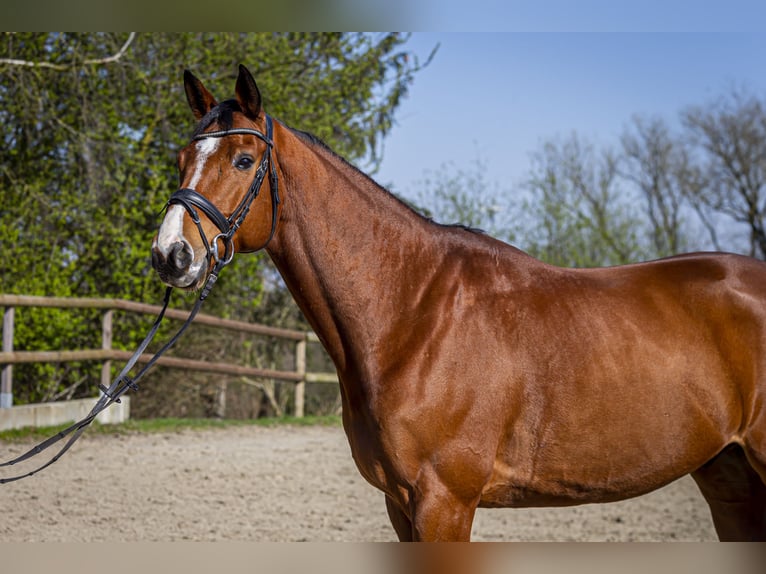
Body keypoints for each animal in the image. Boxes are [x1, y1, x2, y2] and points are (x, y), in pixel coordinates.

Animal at [150, 65, 766, 544]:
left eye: (243, 159)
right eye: (182, 158)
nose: (171, 255)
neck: (413, 312)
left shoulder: (443, 502)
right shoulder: (400, 506)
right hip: (729, 476)